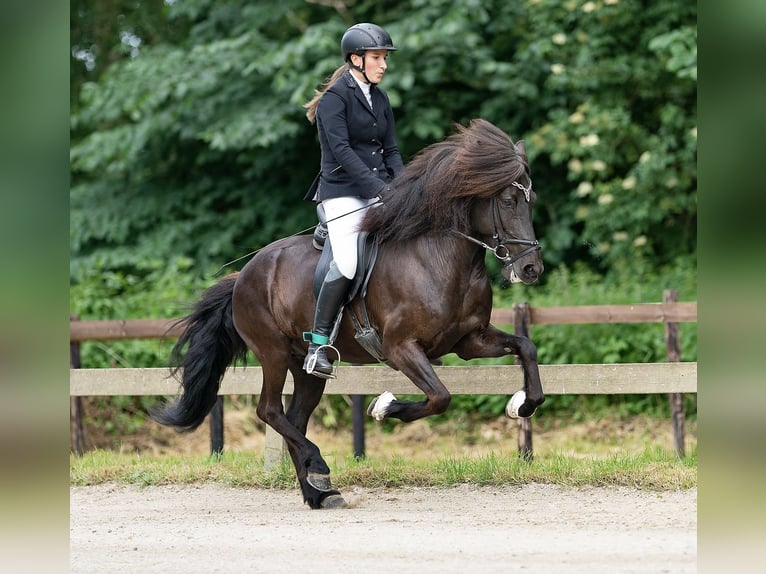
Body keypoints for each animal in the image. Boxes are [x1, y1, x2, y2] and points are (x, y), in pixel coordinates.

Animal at [152, 119, 544, 510]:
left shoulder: (469, 341)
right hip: (272, 352)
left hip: (304, 367)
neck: (442, 259)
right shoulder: (401, 348)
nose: (530, 269)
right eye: (508, 201)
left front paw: (521, 405)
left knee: (295, 418)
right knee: (270, 411)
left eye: (532, 201)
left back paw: (319, 490)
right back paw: (319, 469)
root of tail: (243, 275)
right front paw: (385, 407)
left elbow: (526, 348)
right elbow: (439, 397)